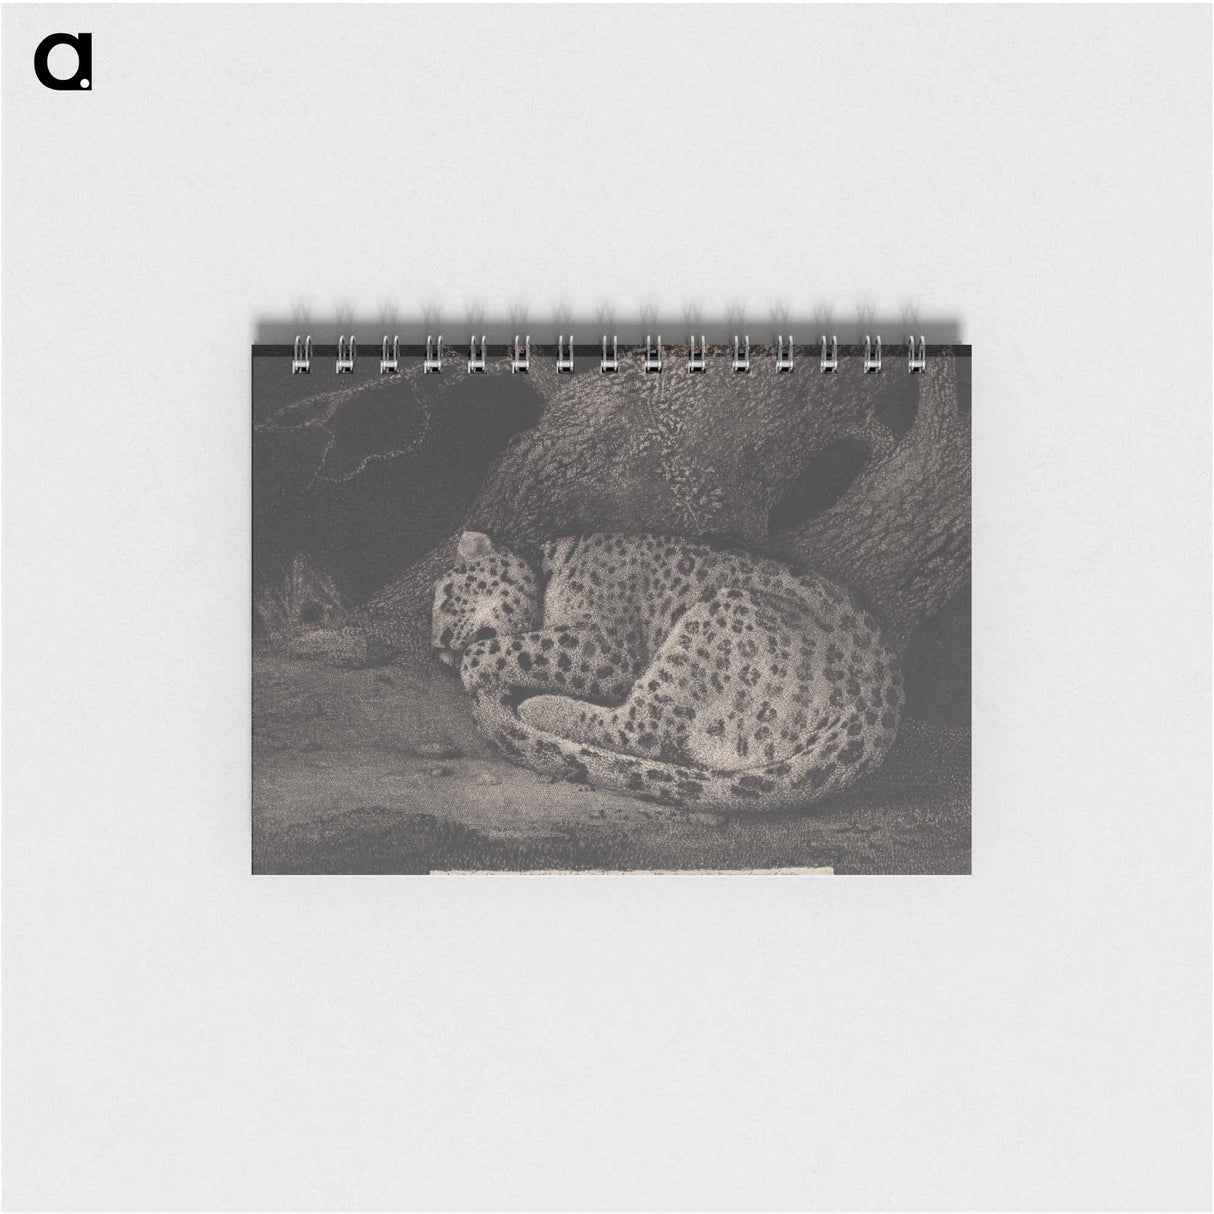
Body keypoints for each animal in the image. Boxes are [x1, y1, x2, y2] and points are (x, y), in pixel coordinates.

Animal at [432, 530, 903, 813]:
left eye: (448, 596)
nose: (439, 647)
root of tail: (877, 709)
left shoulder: (606, 648)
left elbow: (515, 647)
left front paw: (475, 667)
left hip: (717, 616)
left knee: (641, 729)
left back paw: (538, 707)